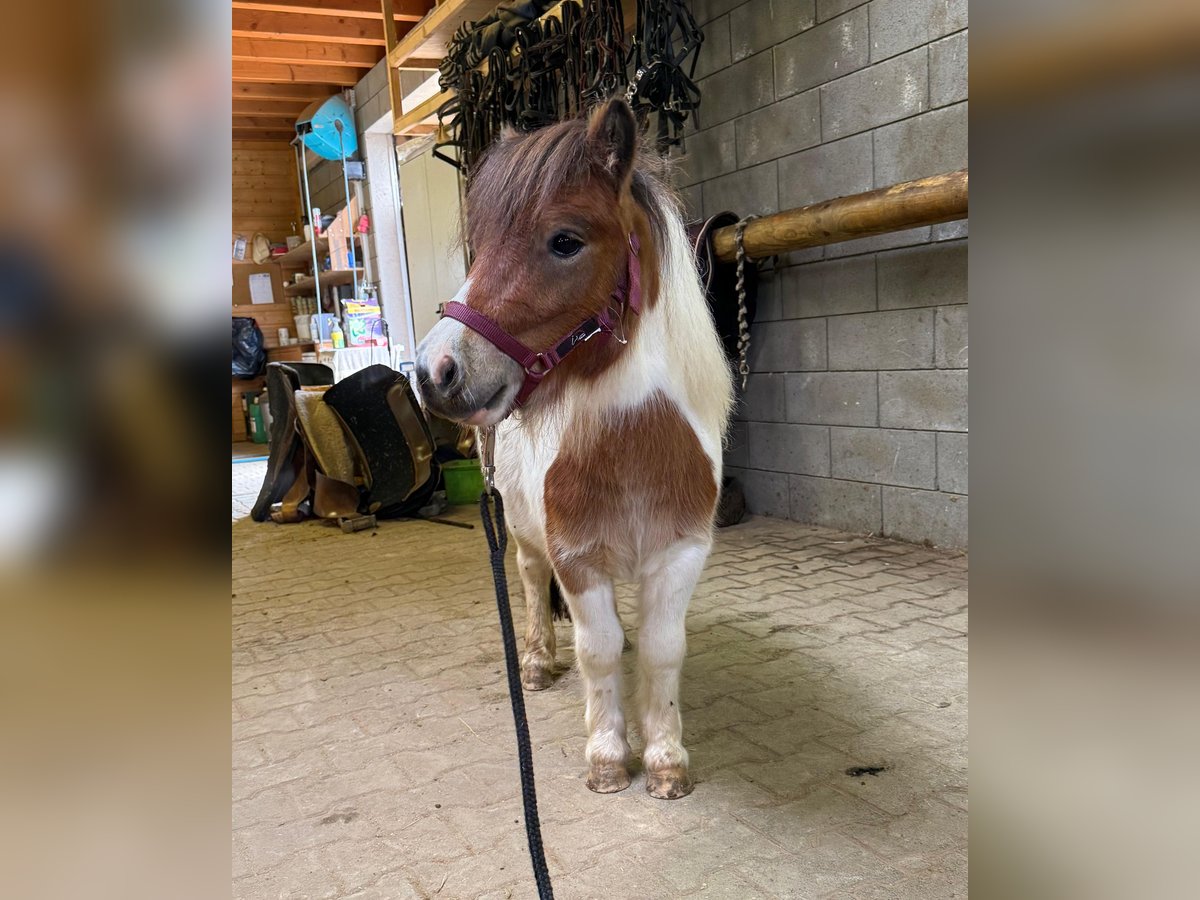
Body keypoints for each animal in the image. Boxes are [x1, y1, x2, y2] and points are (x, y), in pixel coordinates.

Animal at [415, 98, 733, 799]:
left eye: (565, 241)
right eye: (481, 244)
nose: (434, 372)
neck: (635, 450)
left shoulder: (680, 555)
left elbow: (662, 649)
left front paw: (666, 760)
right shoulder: (577, 560)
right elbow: (598, 650)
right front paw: (609, 758)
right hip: (521, 528)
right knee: (531, 579)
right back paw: (536, 662)